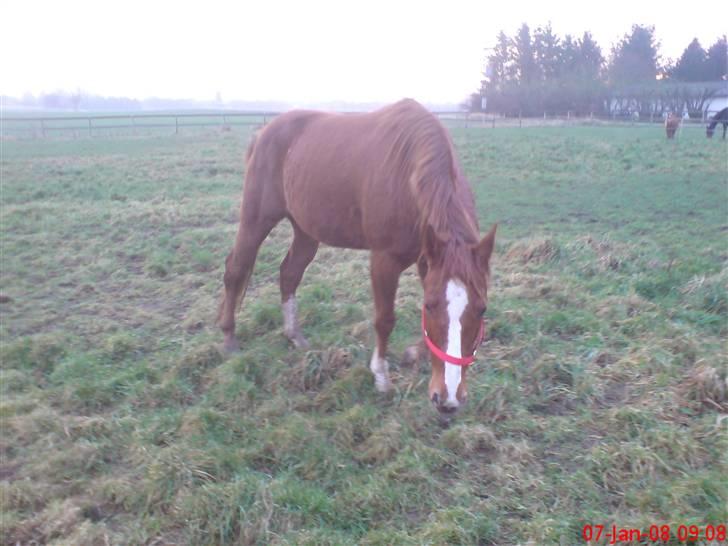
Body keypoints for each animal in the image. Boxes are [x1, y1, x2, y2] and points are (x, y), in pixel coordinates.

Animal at [219, 99, 498, 412]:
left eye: (482, 309)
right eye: (430, 306)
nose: (448, 400)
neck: (409, 176)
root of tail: (263, 134)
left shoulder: (429, 259)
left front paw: (413, 353)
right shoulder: (384, 261)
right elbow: (385, 319)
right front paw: (381, 377)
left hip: (306, 231)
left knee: (289, 273)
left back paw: (294, 335)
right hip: (256, 219)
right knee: (236, 269)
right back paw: (229, 338)